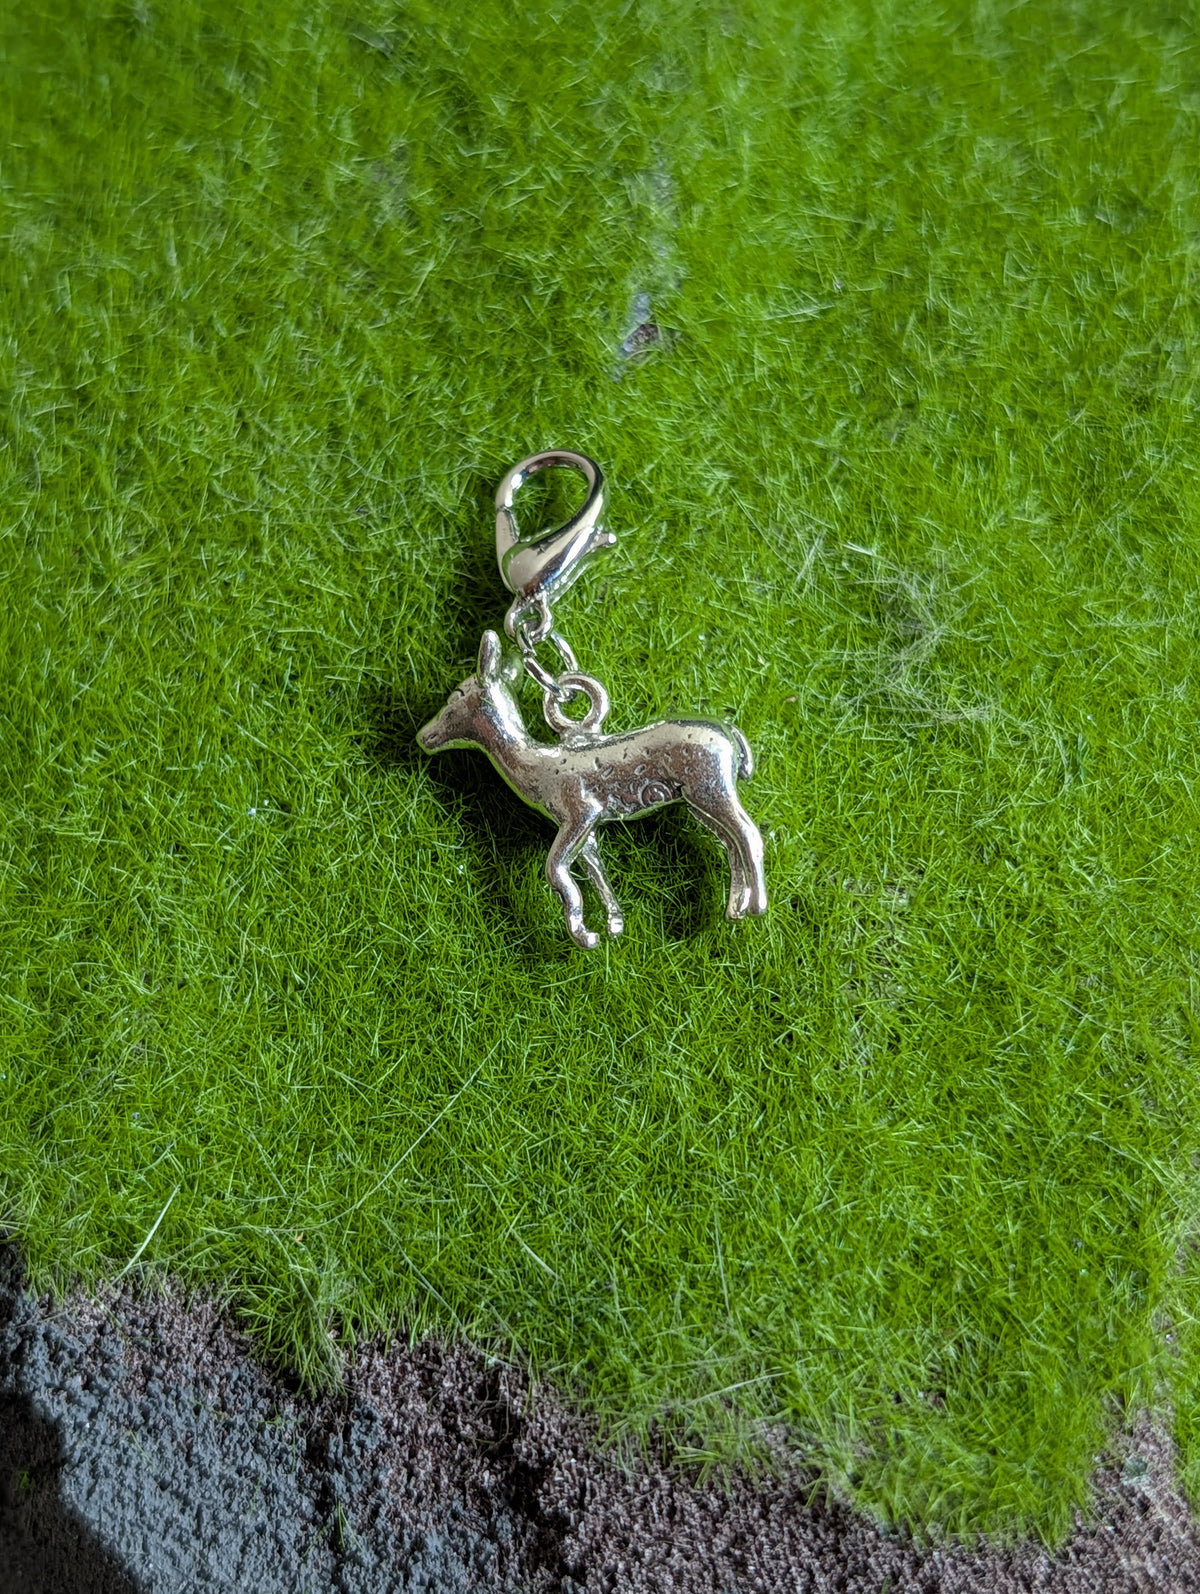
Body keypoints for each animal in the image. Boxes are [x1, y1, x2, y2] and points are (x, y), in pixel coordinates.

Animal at [418, 630, 767, 949]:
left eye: (455, 696)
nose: (424, 736)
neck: (538, 767)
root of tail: (730, 734)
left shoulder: (581, 813)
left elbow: (555, 869)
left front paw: (584, 935)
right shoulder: (587, 827)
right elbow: (596, 871)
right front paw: (613, 925)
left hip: (711, 787)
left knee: (748, 833)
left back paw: (757, 905)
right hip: (697, 799)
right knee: (730, 842)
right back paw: (735, 908)